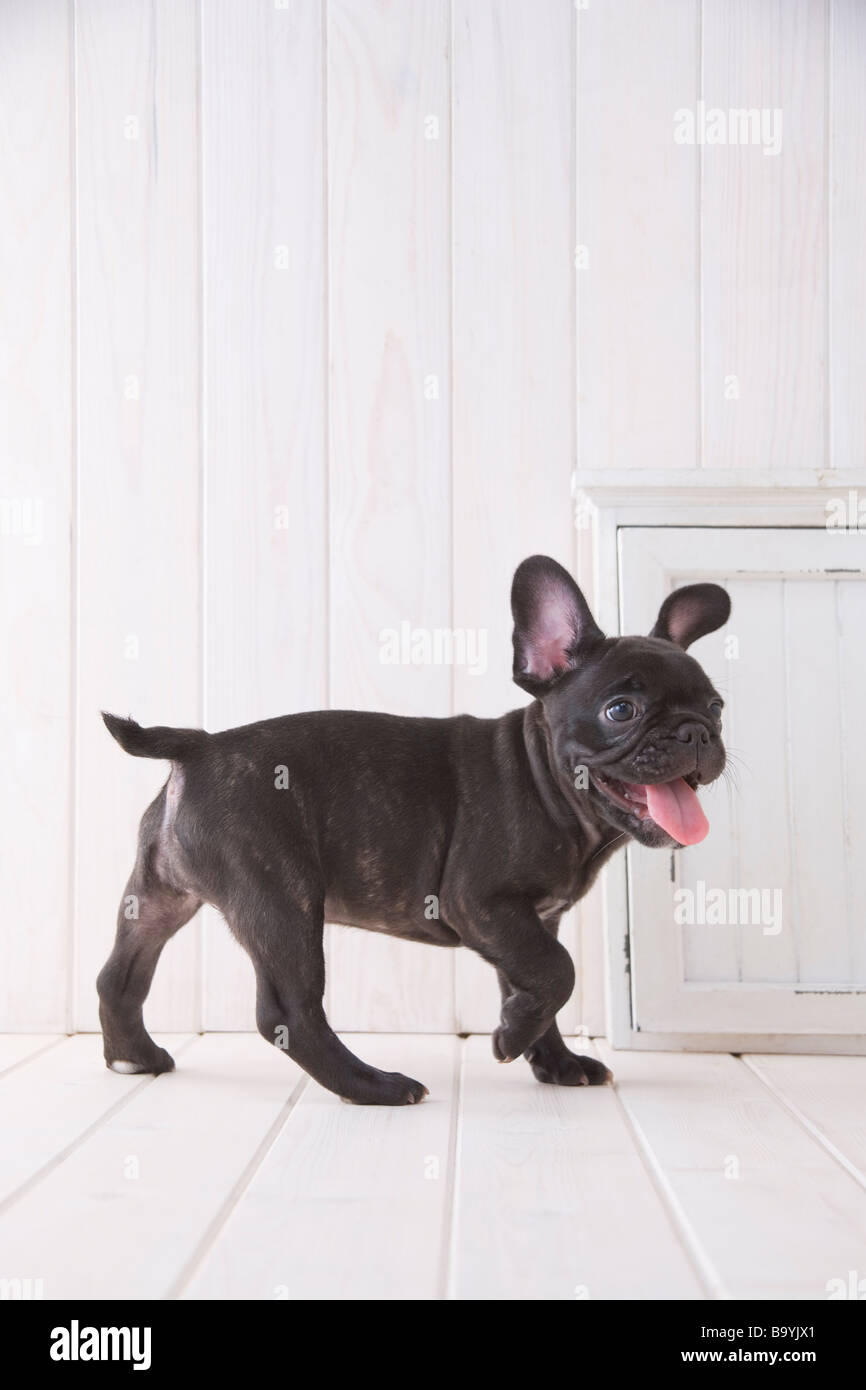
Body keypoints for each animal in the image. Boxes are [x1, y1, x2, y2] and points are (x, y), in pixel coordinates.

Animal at [96, 553, 733, 1106]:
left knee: (120, 976)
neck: (545, 780)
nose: (696, 732)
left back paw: (134, 1057)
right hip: (280, 899)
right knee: (289, 1012)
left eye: (717, 708)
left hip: (160, 896)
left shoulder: (530, 923)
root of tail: (199, 746)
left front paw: (553, 1060)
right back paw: (374, 1086)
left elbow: (536, 982)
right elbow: (558, 972)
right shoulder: (482, 904)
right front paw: (510, 1038)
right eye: (621, 710)